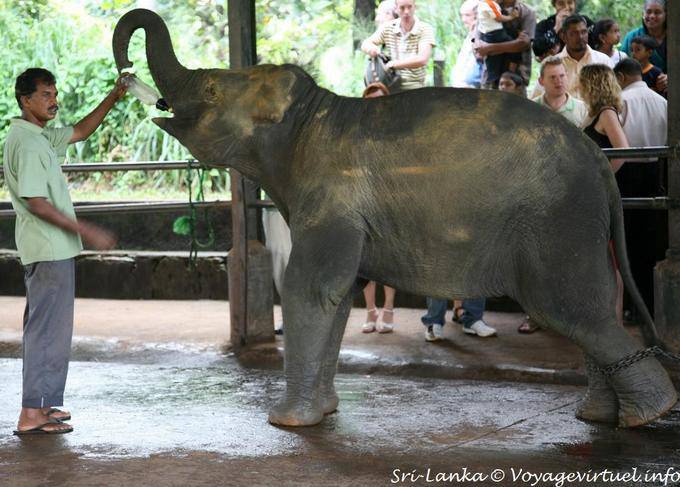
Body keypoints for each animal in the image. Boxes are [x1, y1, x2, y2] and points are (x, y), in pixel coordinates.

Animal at [113, 9, 677, 428]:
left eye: (211, 91)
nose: (128, 77)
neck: (309, 114)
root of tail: (599, 160)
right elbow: (338, 296)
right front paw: (324, 414)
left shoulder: (331, 197)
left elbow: (308, 288)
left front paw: (287, 423)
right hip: (576, 224)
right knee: (592, 306)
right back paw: (601, 416)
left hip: (557, 222)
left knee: (571, 309)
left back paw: (647, 415)